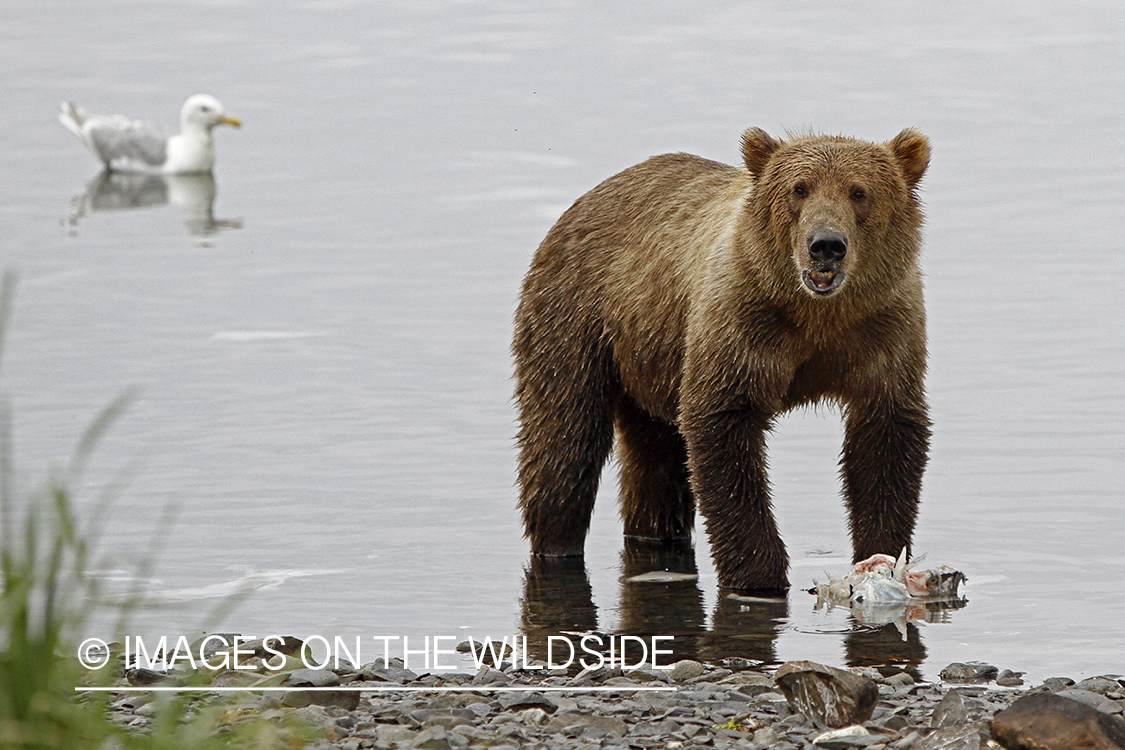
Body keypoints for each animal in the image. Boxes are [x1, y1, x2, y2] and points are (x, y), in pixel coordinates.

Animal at [513, 132, 931, 593]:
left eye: (859, 191)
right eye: (799, 189)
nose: (826, 245)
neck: (815, 314)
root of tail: (586, 200)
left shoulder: (883, 333)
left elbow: (885, 438)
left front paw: (882, 553)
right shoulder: (739, 325)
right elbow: (723, 430)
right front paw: (759, 573)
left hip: (651, 356)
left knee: (654, 460)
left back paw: (655, 535)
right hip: (578, 315)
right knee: (565, 439)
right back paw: (557, 542)